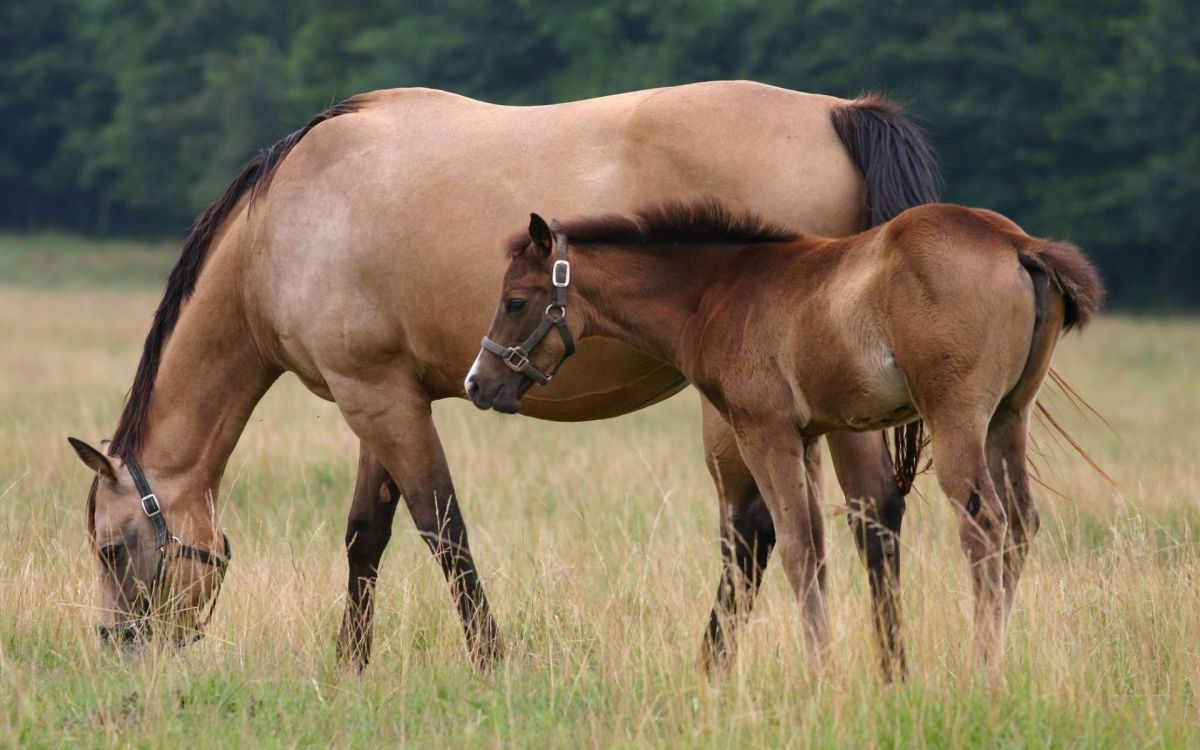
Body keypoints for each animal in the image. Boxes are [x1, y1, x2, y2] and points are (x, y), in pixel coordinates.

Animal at [66, 81, 939, 678]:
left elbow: (441, 528)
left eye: (112, 548)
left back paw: (715, 667)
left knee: (755, 531)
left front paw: (490, 659)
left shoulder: (374, 397)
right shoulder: (384, 394)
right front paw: (351, 663)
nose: (118, 649)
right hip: (835, 405)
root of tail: (838, 112)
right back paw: (888, 669)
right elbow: (366, 533)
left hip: (748, 411)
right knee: (871, 515)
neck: (283, 225)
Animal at [468, 200, 1102, 678]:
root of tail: (1017, 244)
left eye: (515, 301)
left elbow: (796, 548)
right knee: (1020, 523)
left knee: (985, 525)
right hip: (1008, 419)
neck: (717, 292)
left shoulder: (763, 431)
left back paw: (983, 670)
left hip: (956, 419)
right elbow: (817, 549)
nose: (479, 382)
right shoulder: (808, 436)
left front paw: (822, 673)